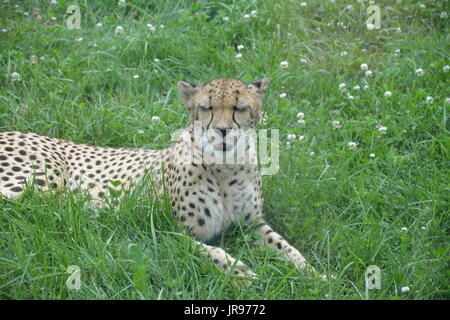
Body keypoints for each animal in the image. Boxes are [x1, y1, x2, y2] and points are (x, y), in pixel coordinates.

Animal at [0, 79, 326, 282]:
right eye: (207, 108)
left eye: (239, 108)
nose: (222, 131)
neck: (225, 168)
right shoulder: (171, 233)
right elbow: (214, 253)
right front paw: (243, 275)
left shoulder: (252, 225)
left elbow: (289, 249)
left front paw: (318, 276)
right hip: (43, 184)